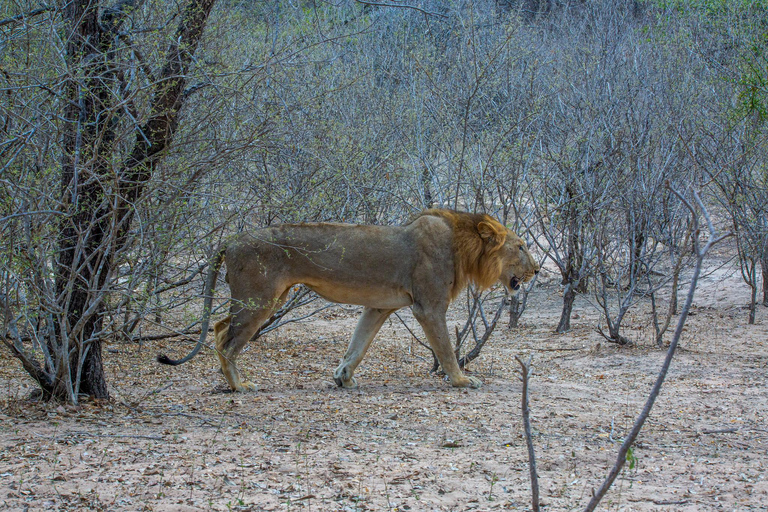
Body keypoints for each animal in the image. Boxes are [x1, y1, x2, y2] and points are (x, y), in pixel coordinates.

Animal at [158, 210, 540, 390]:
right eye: (521, 246)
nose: (537, 269)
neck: (464, 248)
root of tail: (233, 239)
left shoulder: (380, 305)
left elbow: (359, 343)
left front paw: (343, 377)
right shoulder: (429, 307)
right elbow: (446, 350)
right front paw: (461, 381)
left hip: (265, 298)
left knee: (219, 326)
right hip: (260, 298)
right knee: (226, 338)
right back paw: (239, 386)